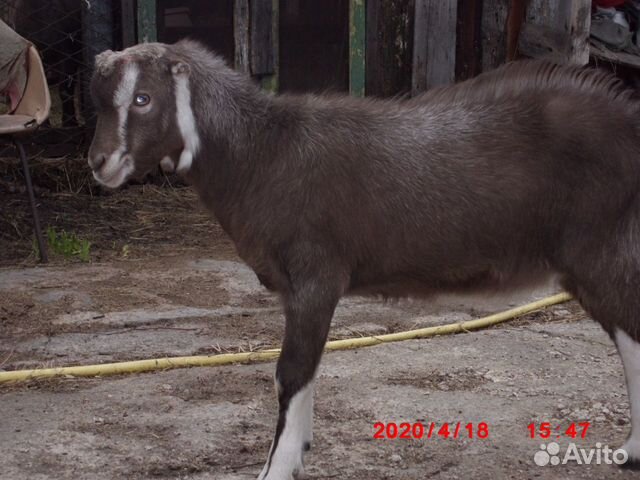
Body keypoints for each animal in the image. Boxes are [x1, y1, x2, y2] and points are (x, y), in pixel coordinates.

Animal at [87, 40, 640, 476]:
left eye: (143, 98)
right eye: (100, 101)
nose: (99, 162)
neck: (259, 154)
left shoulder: (315, 275)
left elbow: (290, 372)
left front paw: (276, 468)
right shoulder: (296, 288)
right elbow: (304, 370)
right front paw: (301, 450)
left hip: (604, 250)